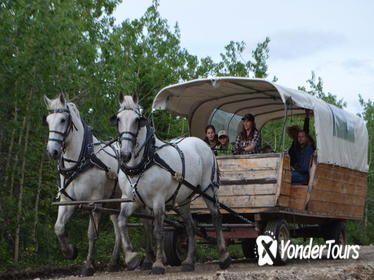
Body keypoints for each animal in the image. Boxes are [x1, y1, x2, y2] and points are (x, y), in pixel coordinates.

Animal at [44, 93, 122, 276]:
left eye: (63, 120)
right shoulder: (67, 201)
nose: (52, 151)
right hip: (114, 204)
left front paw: (88, 265)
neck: (81, 161)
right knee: (119, 230)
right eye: (48, 121)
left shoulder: (95, 202)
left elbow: (91, 234)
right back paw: (113, 262)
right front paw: (70, 252)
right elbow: (59, 228)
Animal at [112, 94, 231, 274]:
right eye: (118, 119)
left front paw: (158, 264)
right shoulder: (132, 199)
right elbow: (122, 222)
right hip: (184, 197)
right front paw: (132, 258)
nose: (125, 154)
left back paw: (224, 257)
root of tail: (203, 144)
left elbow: (158, 231)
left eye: (137, 120)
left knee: (216, 217)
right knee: (189, 226)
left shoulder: (158, 200)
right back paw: (189, 261)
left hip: (208, 189)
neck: (144, 162)